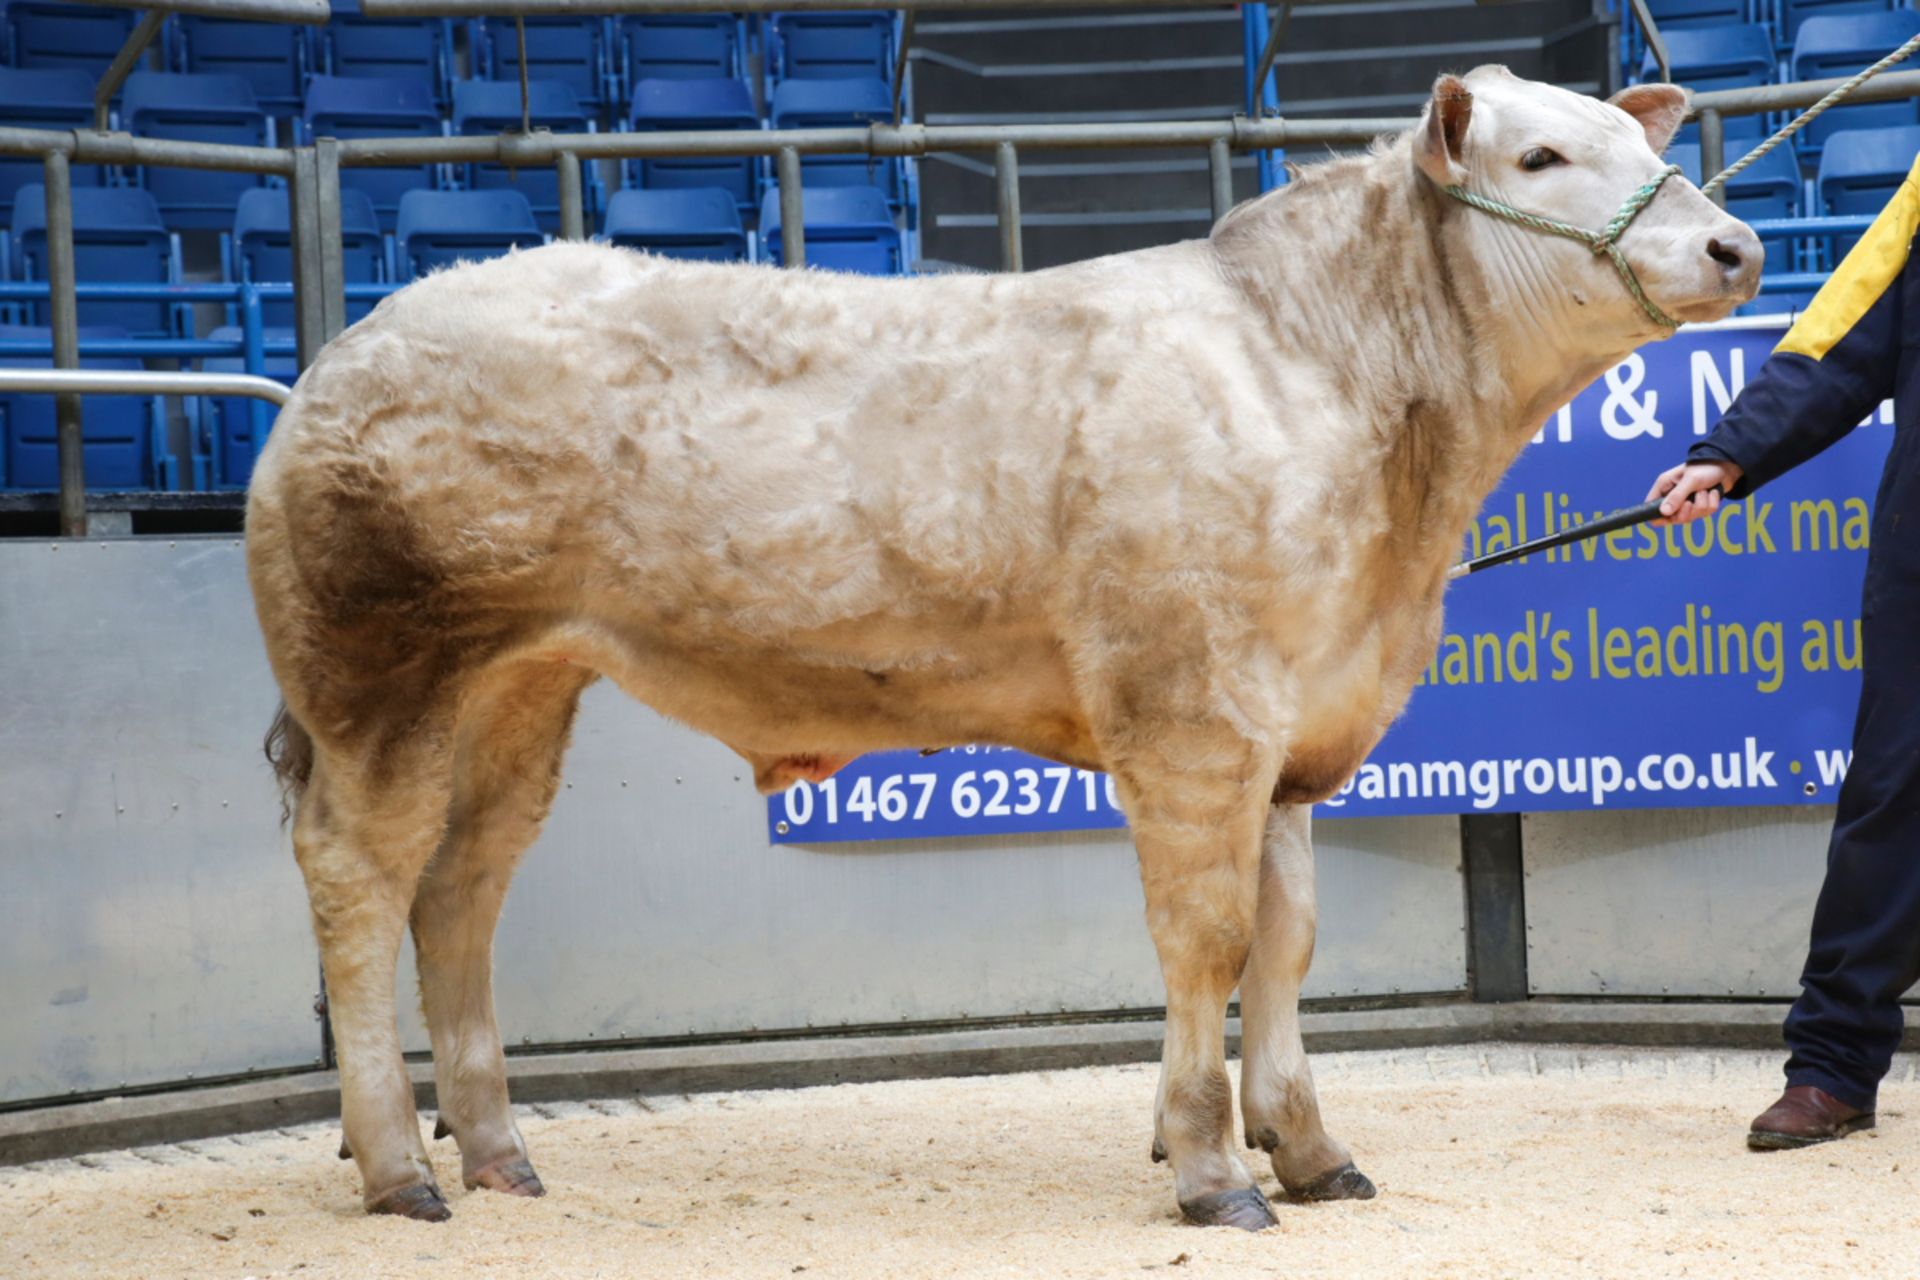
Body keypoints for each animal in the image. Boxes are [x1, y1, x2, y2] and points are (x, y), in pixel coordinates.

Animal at [247, 70, 1758, 1228]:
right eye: (1541, 155)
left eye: (1651, 148)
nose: (1738, 249)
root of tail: (362, 338)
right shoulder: (1193, 713)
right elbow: (1210, 937)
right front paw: (1212, 1166)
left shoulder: (1296, 731)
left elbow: (1289, 939)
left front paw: (1313, 1149)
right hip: (382, 672)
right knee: (358, 877)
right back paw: (399, 1166)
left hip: (521, 685)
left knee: (464, 884)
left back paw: (499, 1154)